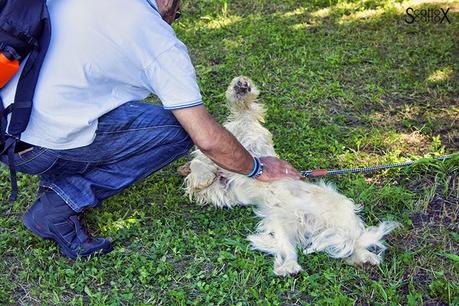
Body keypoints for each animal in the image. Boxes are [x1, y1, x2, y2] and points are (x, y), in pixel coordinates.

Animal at [183, 77, 398, 278]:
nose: (242, 85)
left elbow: (245, 112)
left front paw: (243, 89)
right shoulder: (222, 185)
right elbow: (201, 171)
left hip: (333, 219)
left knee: (353, 242)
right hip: (283, 223)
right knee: (295, 250)